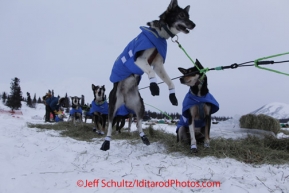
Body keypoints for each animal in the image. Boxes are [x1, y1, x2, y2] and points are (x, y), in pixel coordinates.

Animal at [100, 0, 195, 151]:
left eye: (188, 16)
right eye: (181, 15)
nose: (193, 24)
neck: (159, 34)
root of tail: (124, 99)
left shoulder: (158, 65)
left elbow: (170, 81)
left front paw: (172, 96)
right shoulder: (139, 60)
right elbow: (150, 72)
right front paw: (154, 86)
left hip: (140, 106)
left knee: (138, 123)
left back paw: (144, 137)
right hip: (113, 106)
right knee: (110, 124)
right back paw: (106, 142)